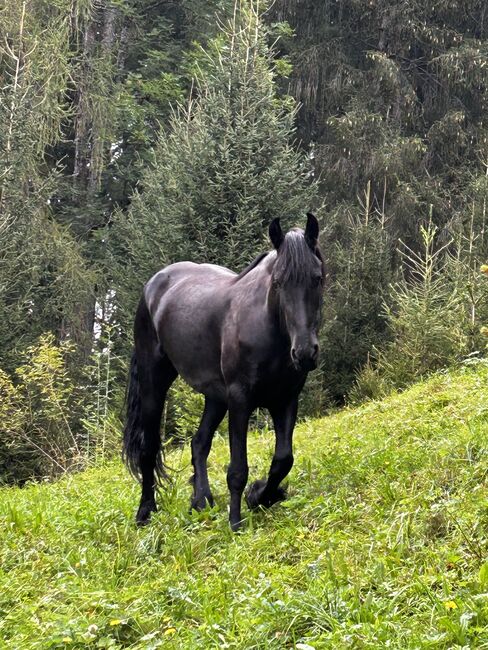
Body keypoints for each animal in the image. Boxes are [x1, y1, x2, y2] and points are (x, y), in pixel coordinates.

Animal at [124, 213, 324, 528]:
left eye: (316, 278)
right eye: (278, 282)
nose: (304, 353)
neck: (268, 328)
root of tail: (155, 284)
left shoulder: (286, 399)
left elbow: (283, 459)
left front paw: (262, 495)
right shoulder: (240, 401)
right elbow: (238, 469)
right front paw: (236, 522)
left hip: (215, 398)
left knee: (199, 442)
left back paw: (200, 501)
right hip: (153, 383)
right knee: (148, 447)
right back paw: (145, 512)